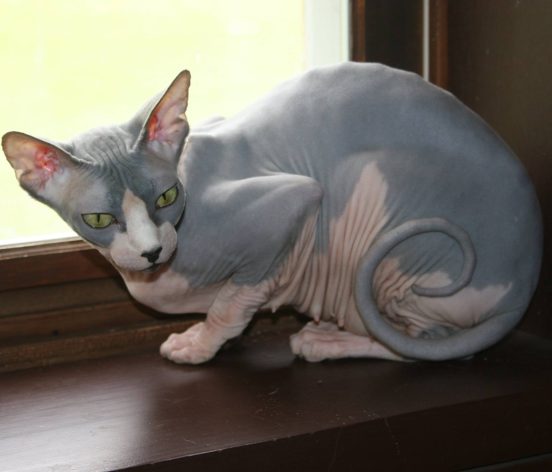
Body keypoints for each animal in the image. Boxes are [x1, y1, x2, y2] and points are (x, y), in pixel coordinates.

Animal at [2, 62, 540, 364]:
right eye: (99, 220)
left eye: (167, 197)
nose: (152, 251)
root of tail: (523, 288)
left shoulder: (292, 200)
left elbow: (234, 299)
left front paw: (201, 344)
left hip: (395, 249)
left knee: (430, 348)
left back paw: (325, 343)